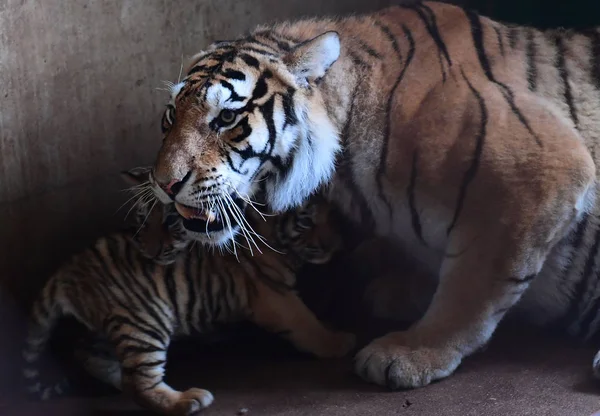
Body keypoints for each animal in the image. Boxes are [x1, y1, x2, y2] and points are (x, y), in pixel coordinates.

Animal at [149, 0, 600, 390]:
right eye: (170, 116)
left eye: (226, 118)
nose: (164, 184)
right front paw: (397, 289)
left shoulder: (544, 166)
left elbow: (471, 286)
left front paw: (413, 353)